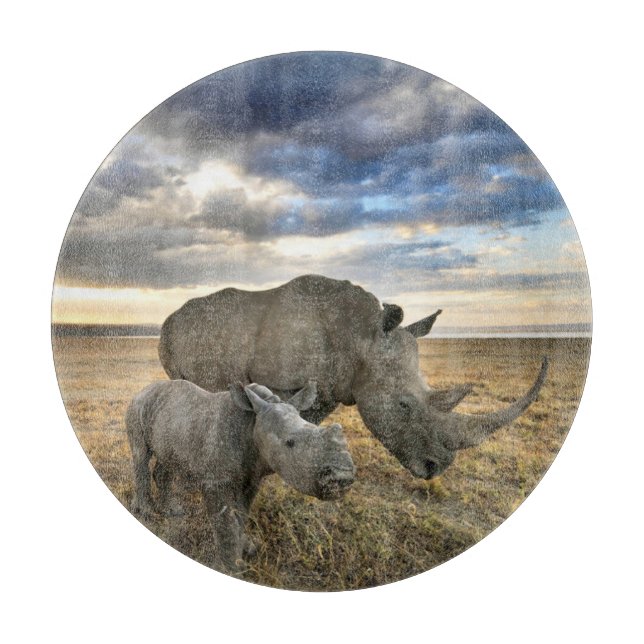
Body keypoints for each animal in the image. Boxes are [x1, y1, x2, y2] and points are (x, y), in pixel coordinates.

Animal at [126, 379, 355, 572]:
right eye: (290, 443)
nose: (342, 478)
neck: (253, 421)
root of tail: (144, 389)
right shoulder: (216, 481)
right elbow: (225, 522)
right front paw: (231, 568)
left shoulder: (252, 478)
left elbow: (242, 514)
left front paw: (247, 549)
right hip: (138, 406)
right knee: (141, 455)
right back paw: (146, 513)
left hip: (172, 420)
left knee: (167, 459)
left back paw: (173, 511)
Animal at [158, 274, 547, 480]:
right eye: (403, 405)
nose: (436, 469)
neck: (361, 337)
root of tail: (169, 316)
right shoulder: (280, 382)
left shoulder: (331, 385)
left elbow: (308, 424)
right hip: (173, 333)